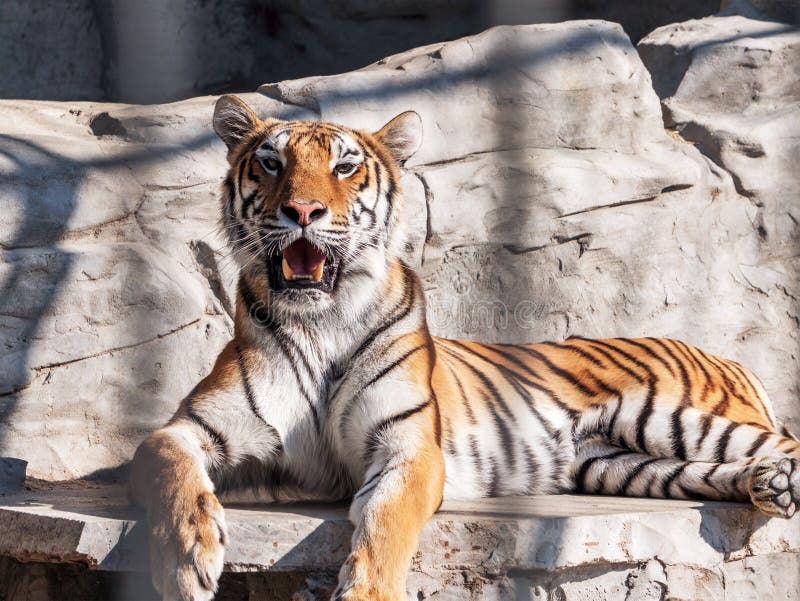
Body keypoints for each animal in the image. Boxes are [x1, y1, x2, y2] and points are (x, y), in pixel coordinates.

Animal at [131, 95, 800, 600]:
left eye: (345, 168)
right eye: (270, 163)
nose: (302, 210)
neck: (320, 323)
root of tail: (727, 356)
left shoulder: (408, 445)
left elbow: (387, 524)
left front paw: (367, 592)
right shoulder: (193, 426)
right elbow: (164, 465)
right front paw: (187, 562)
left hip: (664, 416)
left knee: (783, 443)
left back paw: (780, 480)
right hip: (619, 464)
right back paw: (769, 487)